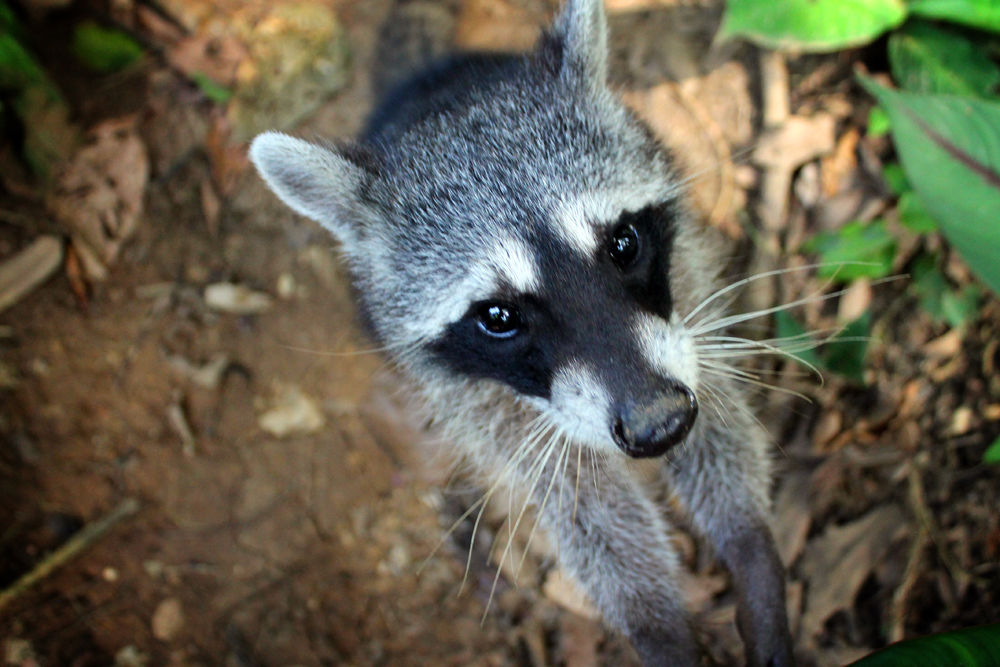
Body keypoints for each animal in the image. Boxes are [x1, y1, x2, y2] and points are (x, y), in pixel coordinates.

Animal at [252, 2, 796, 664]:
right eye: (499, 317)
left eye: (624, 244)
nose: (658, 425)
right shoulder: (469, 391)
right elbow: (585, 506)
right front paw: (660, 629)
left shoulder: (682, 294)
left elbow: (715, 410)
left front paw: (750, 546)